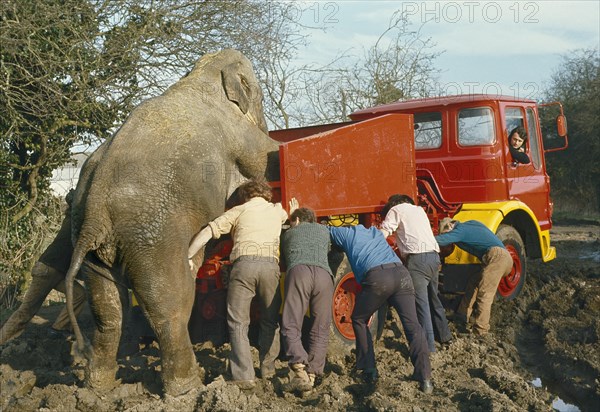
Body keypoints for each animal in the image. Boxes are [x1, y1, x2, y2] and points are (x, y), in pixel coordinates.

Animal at [64, 48, 280, 396]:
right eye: (259, 97)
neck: (202, 76)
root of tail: (96, 204)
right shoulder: (241, 137)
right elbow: (264, 157)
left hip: (90, 239)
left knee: (107, 309)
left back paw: (99, 387)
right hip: (154, 235)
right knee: (170, 303)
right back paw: (188, 387)